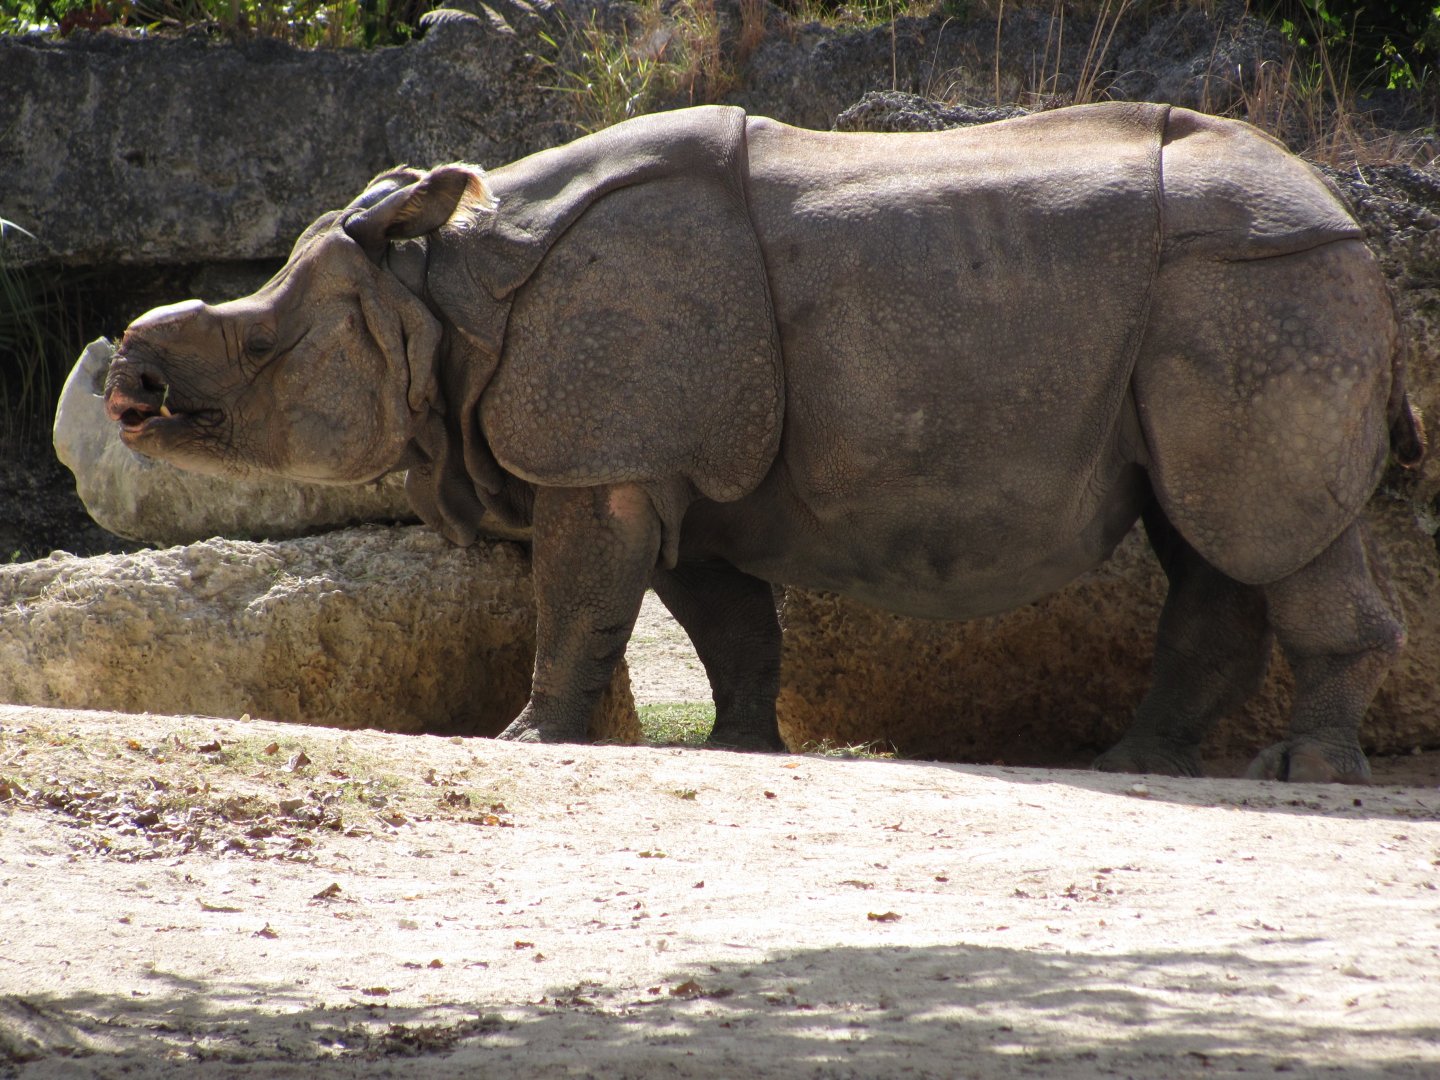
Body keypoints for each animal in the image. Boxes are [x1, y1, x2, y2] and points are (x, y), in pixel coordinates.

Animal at [104, 102, 1424, 782]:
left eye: (260, 344)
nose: (128, 382)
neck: (442, 289)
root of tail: (1347, 215)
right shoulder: (671, 462)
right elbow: (717, 615)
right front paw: (747, 745)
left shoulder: (609, 454)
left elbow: (577, 593)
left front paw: (526, 741)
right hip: (1231, 295)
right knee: (1207, 536)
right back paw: (1134, 762)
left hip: (1258, 286)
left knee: (1260, 530)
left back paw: (1299, 775)